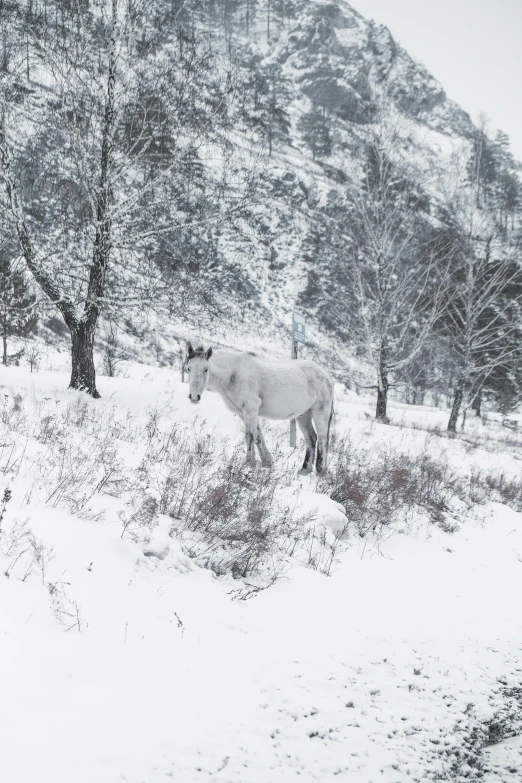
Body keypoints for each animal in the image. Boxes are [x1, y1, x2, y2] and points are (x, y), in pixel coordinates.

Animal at [186, 346, 334, 474]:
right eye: (188, 368)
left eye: (206, 369)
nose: (194, 397)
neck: (233, 374)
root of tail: (326, 376)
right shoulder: (244, 412)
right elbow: (258, 436)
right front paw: (266, 462)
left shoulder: (250, 409)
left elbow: (249, 436)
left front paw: (249, 463)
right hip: (303, 415)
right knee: (311, 438)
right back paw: (305, 469)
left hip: (320, 411)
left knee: (322, 438)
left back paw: (320, 470)